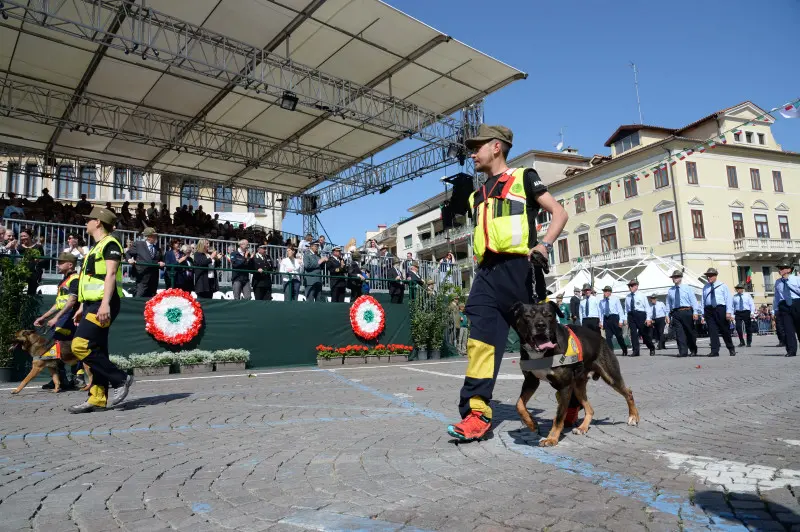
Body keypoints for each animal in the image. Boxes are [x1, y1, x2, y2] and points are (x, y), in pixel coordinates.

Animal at [512, 302, 636, 446]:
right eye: (527, 315)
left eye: (549, 315)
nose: (541, 325)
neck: (541, 353)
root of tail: (601, 338)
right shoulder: (531, 380)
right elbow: (519, 405)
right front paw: (532, 423)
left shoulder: (565, 386)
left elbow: (559, 417)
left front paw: (552, 438)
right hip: (578, 385)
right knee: (589, 409)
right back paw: (583, 427)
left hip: (610, 376)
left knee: (628, 392)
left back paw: (633, 417)